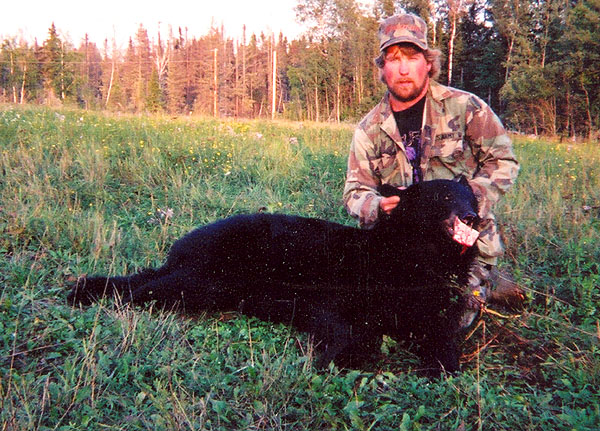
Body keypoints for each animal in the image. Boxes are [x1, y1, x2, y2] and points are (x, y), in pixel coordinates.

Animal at [67, 178, 480, 375]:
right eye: (442, 197)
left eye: (470, 197)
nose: (472, 216)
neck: (410, 256)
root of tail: (184, 241)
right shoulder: (331, 295)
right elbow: (351, 332)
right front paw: (329, 357)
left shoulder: (425, 309)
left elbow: (440, 339)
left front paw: (441, 363)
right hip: (206, 278)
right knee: (144, 289)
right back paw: (83, 293)